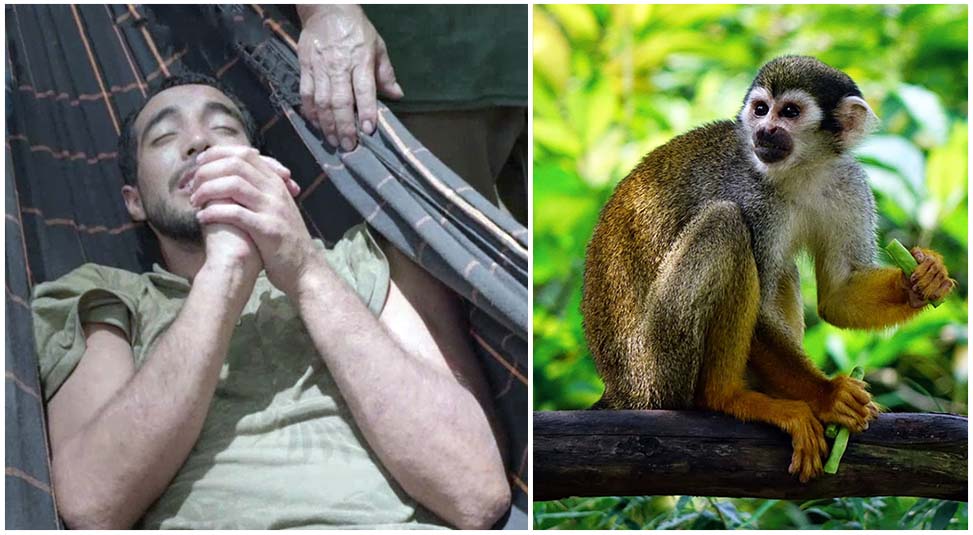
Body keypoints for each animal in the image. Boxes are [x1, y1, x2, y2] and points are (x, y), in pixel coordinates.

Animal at [580, 56, 955, 482]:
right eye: (761, 109)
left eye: (789, 112)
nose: (764, 130)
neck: (801, 171)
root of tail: (620, 389)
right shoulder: (751, 195)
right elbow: (758, 312)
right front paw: (828, 396)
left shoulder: (848, 183)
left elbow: (838, 295)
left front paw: (922, 279)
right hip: (659, 367)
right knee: (726, 225)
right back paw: (727, 397)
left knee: (782, 269)